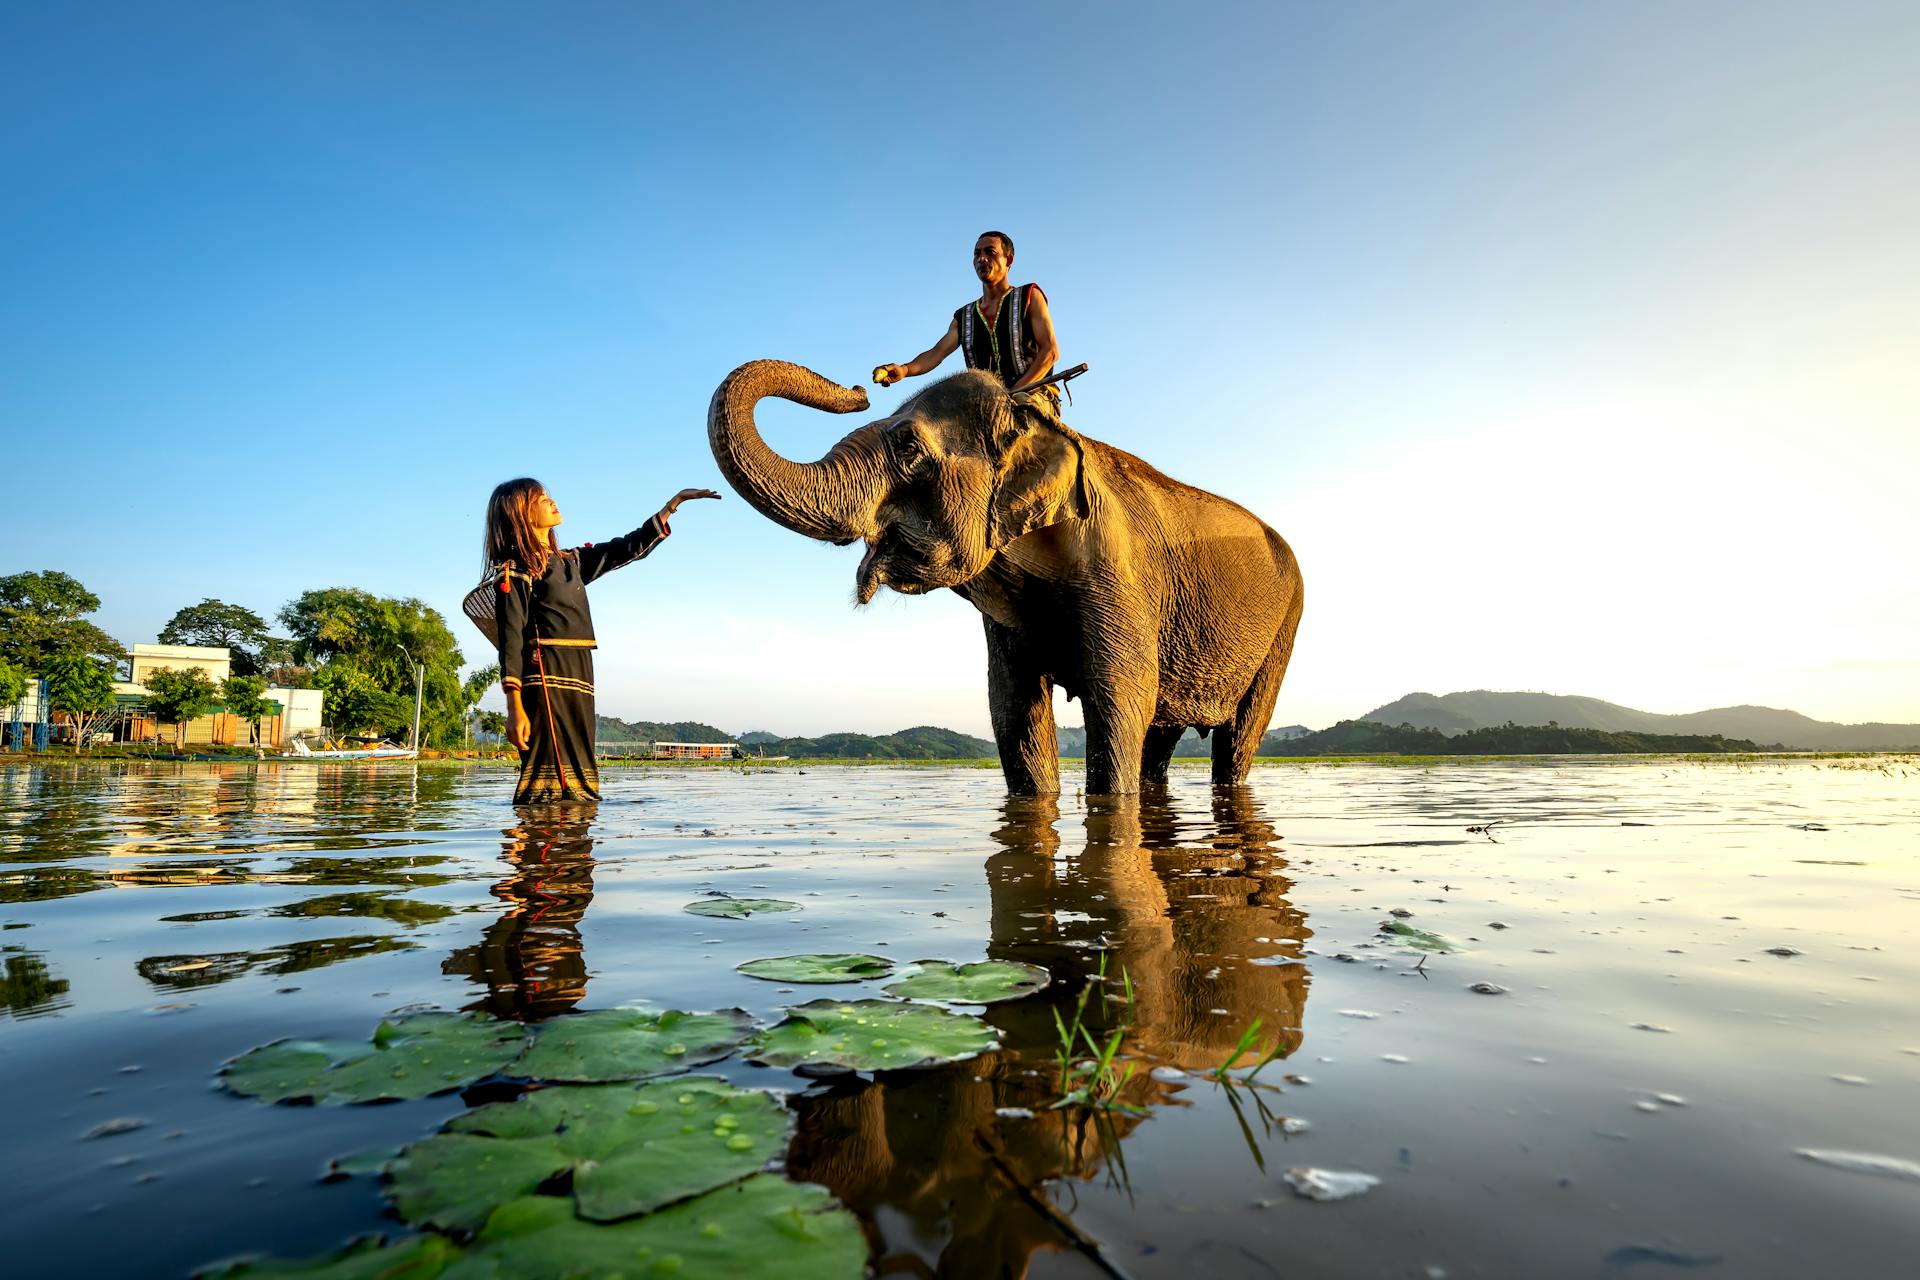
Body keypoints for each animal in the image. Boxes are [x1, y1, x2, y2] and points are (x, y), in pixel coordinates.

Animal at [706, 360, 1305, 794]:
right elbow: (1013, 706)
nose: (862, 385)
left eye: (908, 447)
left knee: (1240, 733)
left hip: (1286, 625)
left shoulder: (1121, 577)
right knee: (1163, 732)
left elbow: (1120, 700)